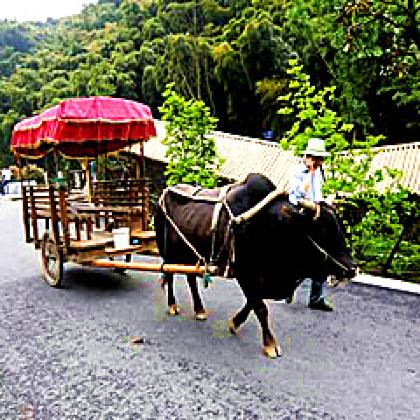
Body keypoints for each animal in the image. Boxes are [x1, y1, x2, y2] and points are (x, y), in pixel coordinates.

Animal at [155, 172, 358, 356]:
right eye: (322, 229)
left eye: (340, 227)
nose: (352, 268)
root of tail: (164, 192)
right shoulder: (244, 273)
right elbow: (260, 307)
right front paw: (270, 344)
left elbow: (253, 303)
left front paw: (234, 322)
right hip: (168, 252)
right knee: (170, 275)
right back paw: (172, 305)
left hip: (191, 256)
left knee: (190, 278)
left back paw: (199, 310)